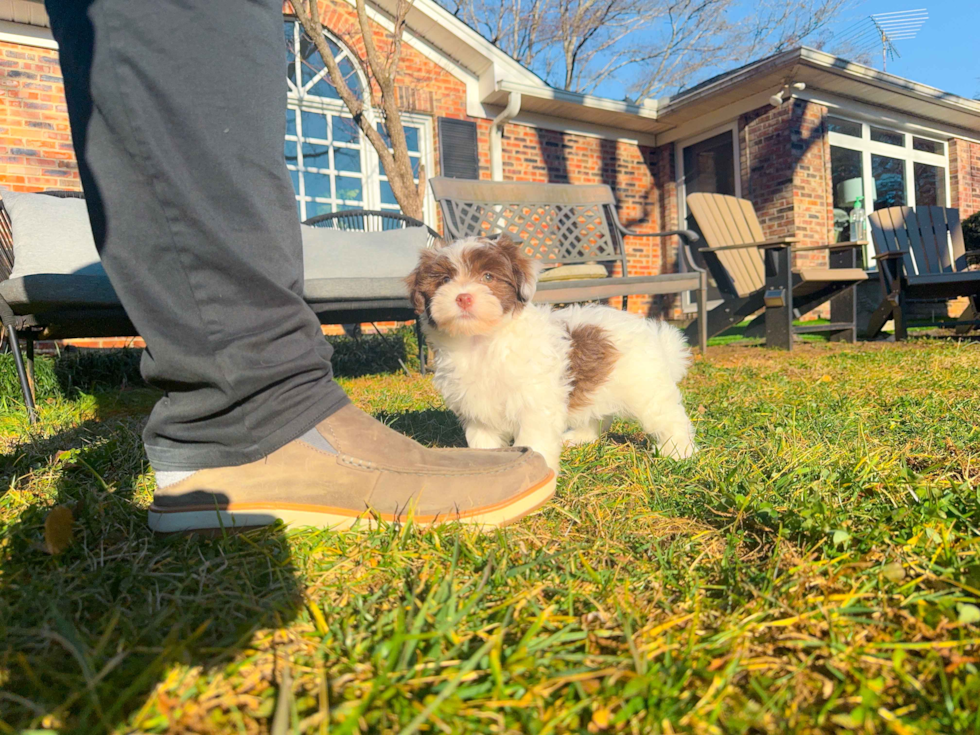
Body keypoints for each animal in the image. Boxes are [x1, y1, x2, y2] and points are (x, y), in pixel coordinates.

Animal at [406, 239, 696, 474]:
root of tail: (653, 332)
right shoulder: (478, 411)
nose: (463, 297)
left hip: (645, 386)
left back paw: (678, 451)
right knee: (596, 415)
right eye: (444, 280)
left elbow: (534, 441)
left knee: (669, 417)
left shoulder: (535, 403)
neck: (482, 341)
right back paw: (580, 437)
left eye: (488, 276)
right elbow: (484, 443)